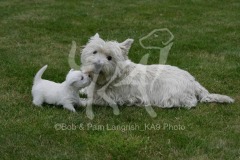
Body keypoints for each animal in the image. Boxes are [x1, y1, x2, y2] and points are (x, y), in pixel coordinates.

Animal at [80, 33, 234, 111]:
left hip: (172, 94)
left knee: (190, 103)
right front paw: (82, 90)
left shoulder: (109, 98)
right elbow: (86, 90)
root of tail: (194, 83)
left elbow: (91, 100)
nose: (97, 65)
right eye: (94, 52)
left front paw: (80, 101)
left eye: (109, 57)